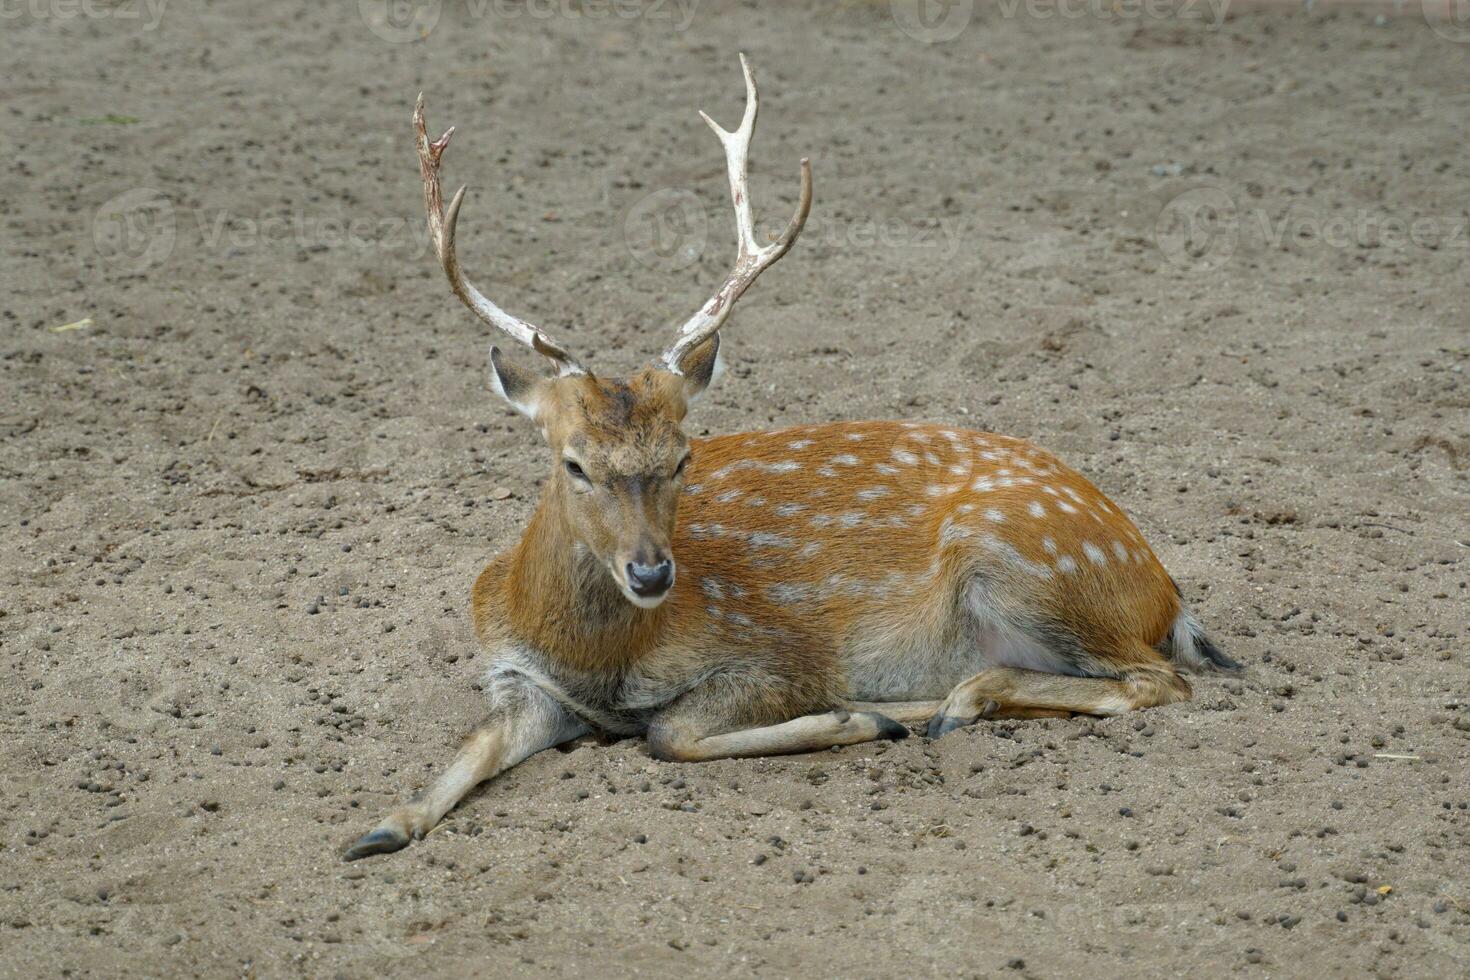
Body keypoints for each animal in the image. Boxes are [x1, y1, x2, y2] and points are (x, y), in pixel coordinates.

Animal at [346, 57, 1240, 863]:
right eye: (574, 464)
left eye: (683, 455)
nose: (651, 573)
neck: (594, 661)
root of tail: (1165, 591)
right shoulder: (514, 675)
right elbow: (474, 745)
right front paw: (382, 827)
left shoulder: (773, 653)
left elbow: (669, 732)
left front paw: (857, 717)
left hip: (1031, 562)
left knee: (1157, 681)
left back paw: (944, 705)